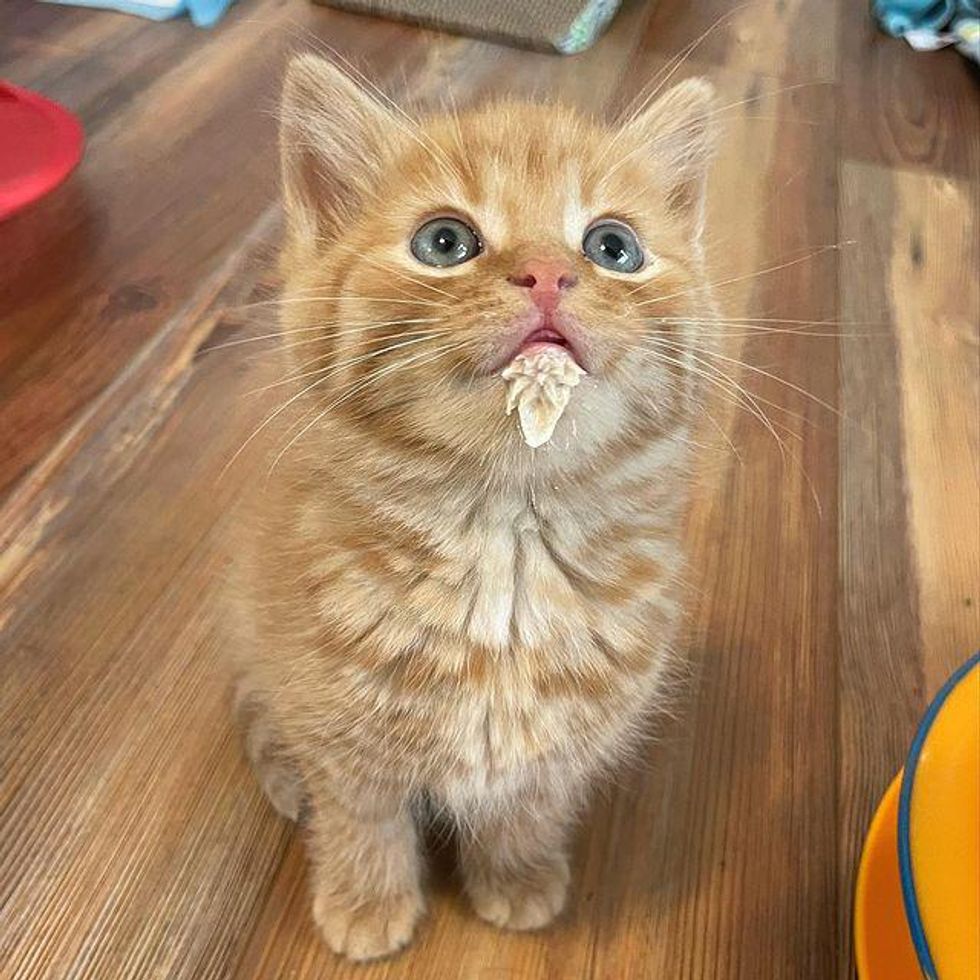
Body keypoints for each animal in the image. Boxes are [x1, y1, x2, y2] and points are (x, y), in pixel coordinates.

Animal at [231, 51, 720, 956]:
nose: (549, 274)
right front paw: (366, 902)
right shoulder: (336, 725)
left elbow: (528, 810)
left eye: (614, 247)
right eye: (444, 242)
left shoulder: (564, 747)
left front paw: (518, 878)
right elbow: (361, 817)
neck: (508, 542)